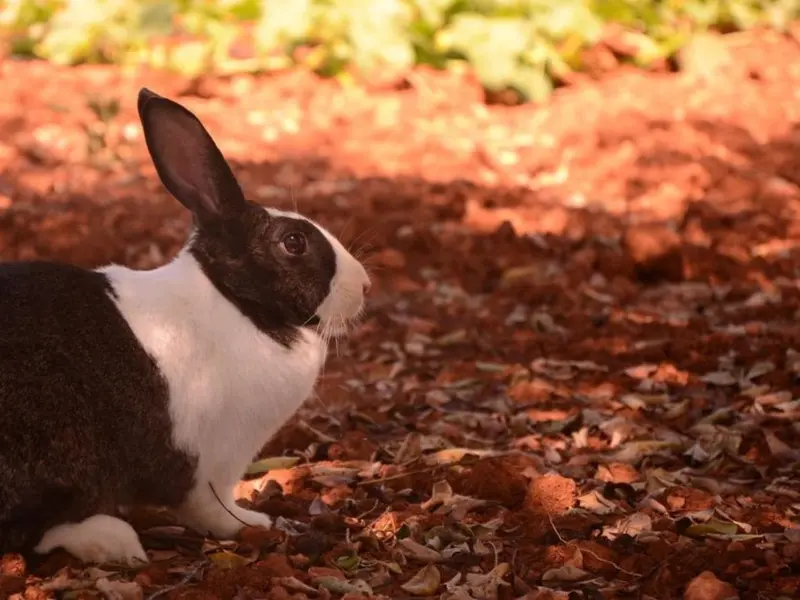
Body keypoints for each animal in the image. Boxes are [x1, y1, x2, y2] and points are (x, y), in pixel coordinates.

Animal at [0, 88, 371, 566]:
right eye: (293, 242)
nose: (364, 287)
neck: (235, 302)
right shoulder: (211, 466)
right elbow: (212, 508)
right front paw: (253, 523)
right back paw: (114, 541)